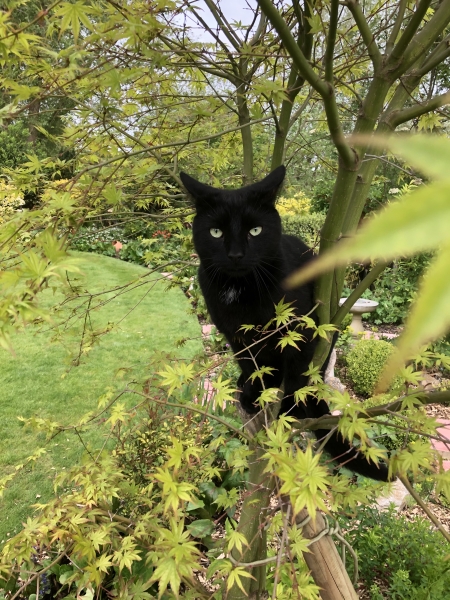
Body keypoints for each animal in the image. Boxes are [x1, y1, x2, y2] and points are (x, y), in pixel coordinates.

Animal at [179, 165, 390, 482]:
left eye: (255, 231)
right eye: (216, 232)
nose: (236, 255)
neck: (240, 289)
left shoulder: (301, 328)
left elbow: (296, 373)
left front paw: (287, 408)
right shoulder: (235, 335)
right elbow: (250, 364)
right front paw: (253, 391)